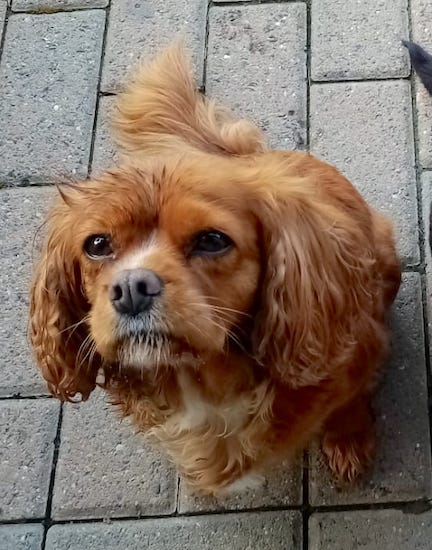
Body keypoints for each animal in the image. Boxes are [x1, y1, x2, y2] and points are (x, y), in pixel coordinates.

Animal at [29, 45, 402, 498]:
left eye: (212, 240)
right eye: (97, 245)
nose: (132, 287)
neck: (204, 378)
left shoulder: (360, 354)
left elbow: (349, 406)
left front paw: (349, 442)